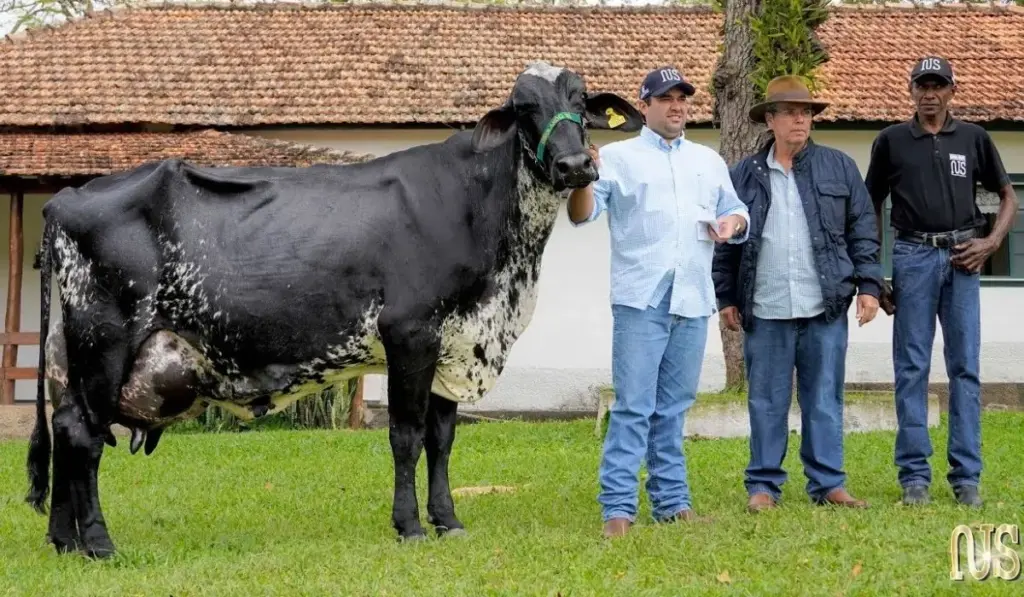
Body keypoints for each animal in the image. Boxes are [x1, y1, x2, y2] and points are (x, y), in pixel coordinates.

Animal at [24, 61, 645, 558]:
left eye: (579, 101)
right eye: (523, 109)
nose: (575, 165)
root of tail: (69, 196)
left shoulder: (455, 343)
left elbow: (443, 439)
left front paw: (448, 521)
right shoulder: (410, 333)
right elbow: (407, 435)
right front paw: (409, 527)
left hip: (70, 356)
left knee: (64, 428)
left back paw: (63, 541)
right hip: (105, 340)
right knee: (83, 435)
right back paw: (98, 543)